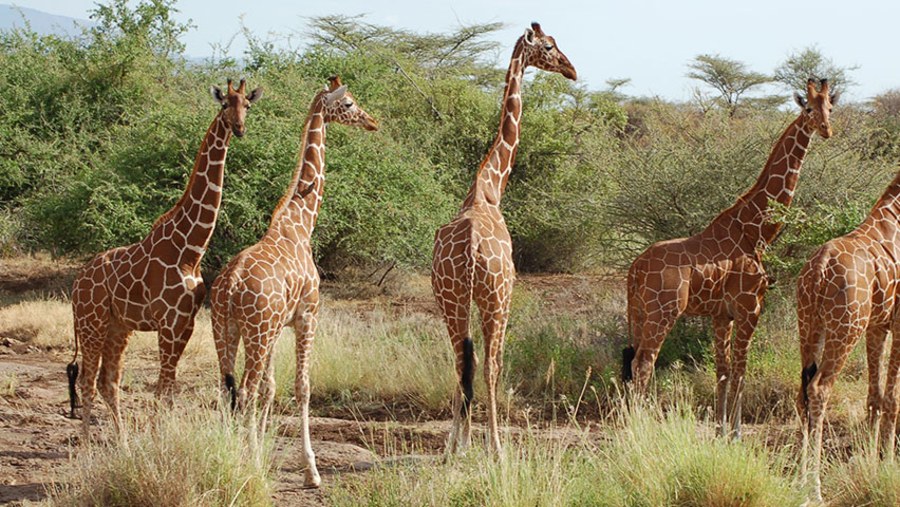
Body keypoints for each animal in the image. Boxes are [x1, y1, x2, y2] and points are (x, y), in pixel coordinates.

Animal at [67, 79, 262, 440]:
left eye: (247, 105)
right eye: (224, 105)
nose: (239, 129)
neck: (190, 250)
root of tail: (76, 282)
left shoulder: (185, 322)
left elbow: (169, 386)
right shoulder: (168, 323)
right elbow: (164, 387)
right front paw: (160, 440)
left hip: (118, 326)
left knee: (107, 381)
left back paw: (123, 443)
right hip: (91, 321)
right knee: (87, 379)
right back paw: (86, 445)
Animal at [210, 76, 376, 488]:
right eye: (348, 103)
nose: (372, 122)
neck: (301, 223)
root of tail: (230, 286)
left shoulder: (278, 326)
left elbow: (272, 389)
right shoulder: (307, 316)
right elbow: (301, 387)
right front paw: (310, 470)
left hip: (226, 329)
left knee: (228, 388)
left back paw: (231, 456)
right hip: (255, 332)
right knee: (246, 390)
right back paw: (250, 464)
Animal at [430, 21, 576, 454]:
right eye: (549, 46)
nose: (572, 70)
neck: (489, 188)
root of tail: (471, 250)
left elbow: (467, 362)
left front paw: (459, 441)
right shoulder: (506, 293)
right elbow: (492, 363)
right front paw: (486, 444)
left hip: (451, 297)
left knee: (462, 360)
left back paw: (454, 444)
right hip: (497, 297)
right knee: (491, 363)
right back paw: (496, 446)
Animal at [624, 78, 836, 436]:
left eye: (830, 107)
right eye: (808, 108)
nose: (826, 129)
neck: (756, 232)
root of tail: (634, 271)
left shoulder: (721, 315)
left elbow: (722, 370)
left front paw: (720, 429)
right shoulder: (750, 307)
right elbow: (740, 369)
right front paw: (735, 433)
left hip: (638, 312)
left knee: (632, 360)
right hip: (663, 312)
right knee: (644, 363)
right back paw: (640, 426)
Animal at [800, 171, 900, 500]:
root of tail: (818, 270)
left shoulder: (877, 326)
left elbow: (875, 396)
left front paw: (871, 462)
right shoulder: (899, 322)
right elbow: (892, 398)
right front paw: (888, 464)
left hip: (808, 325)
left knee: (802, 392)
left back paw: (798, 481)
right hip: (845, 329)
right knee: (819, 389)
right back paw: (814, 489)